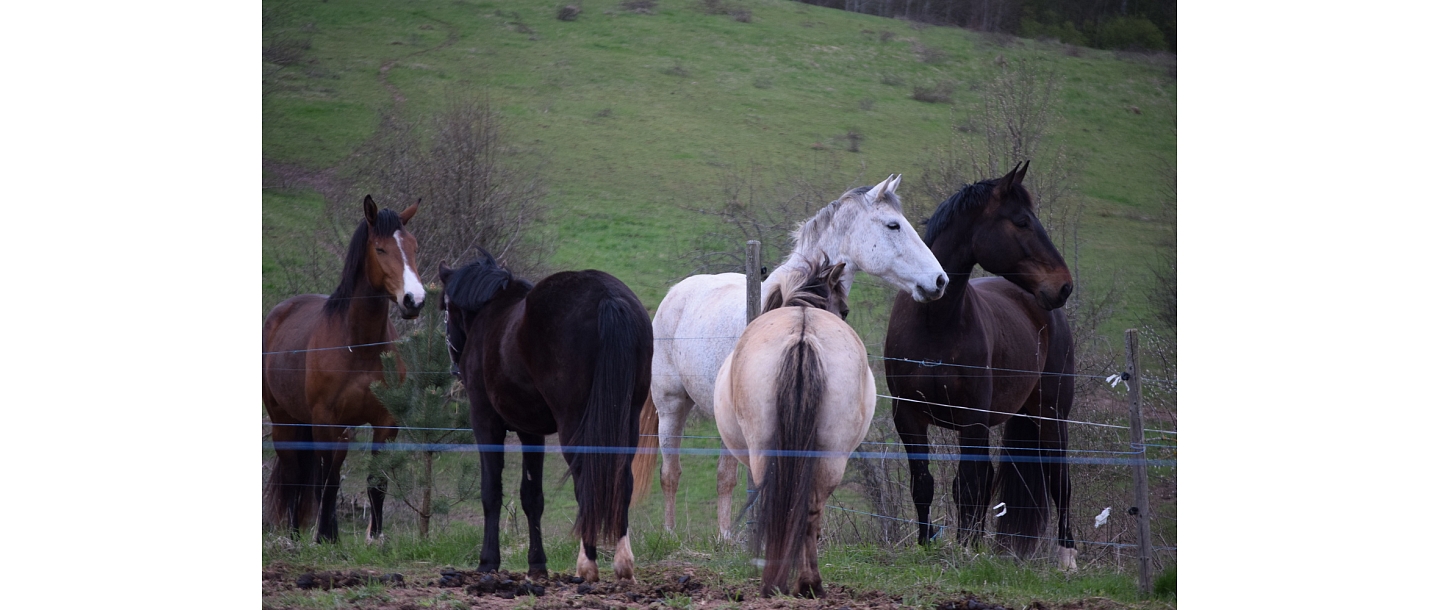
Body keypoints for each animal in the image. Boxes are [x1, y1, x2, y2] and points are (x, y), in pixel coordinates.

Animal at [262, 195, 425, 543]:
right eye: (380, 249)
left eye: (414, 247)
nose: (414, 300)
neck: (358, 345)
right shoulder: (326, 420)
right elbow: (329, 480)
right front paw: (323, 536)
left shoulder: (385, 422)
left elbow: (376, 481)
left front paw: (375, 538)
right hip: (286, 421)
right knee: (297, 475)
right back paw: (296, 536)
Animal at [439, 250, 652, 582]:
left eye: (445, 308)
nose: (454, 366)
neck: (492, 313)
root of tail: (607, 296)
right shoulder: (531, 431)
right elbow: (532, 497)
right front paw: (537, 563)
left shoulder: (485, 423)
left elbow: (491, 491)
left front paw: (488, 561)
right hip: (627, 420)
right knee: (622, 480)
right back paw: (622, 562)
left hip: (573, 424)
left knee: (586, 481)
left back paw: (587, 564)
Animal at [634, 175, 947, 539]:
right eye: (893, 225)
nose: (939, 280)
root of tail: (676, 293)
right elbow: (732, 477)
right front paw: (732, 540)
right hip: (672, 405)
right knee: (672, 473)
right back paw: (673, 534)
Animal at [714, 257, 874, 597]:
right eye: (845, 310)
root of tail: (803, 334)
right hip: (831, 457)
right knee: (809, 512)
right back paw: (807, 583)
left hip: (764, 453)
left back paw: (785, 582)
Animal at [882, 161, 1079, 569]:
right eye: (1021, 221)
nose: (1064, 286)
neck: (935, 322)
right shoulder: (908, 417)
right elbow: (924, 483)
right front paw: (928, 543)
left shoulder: (971, 420)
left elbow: (968, 484)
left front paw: (963, 550)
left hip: (1052, 415)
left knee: (1059, 479)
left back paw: (1067, 557)